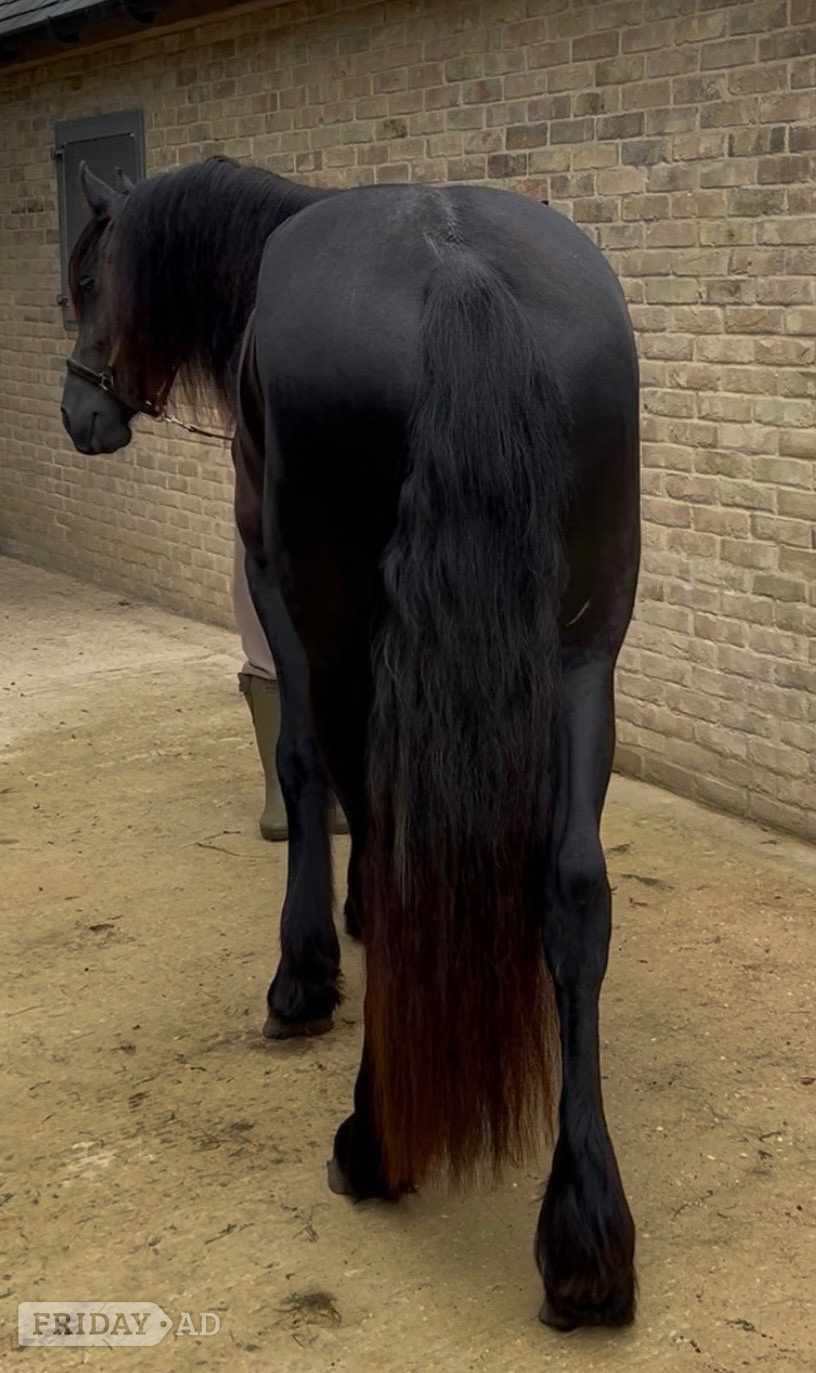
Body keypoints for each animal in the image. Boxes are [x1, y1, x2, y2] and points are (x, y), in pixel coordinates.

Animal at [60, 156, 640, 1332]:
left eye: (89, 282)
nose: (77, 411)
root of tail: (461, 274)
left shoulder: (275, 586)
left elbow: (305, 767)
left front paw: (308, 971)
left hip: (334, 614)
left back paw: (374, 1142)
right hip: (585, 650)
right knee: (573, 889)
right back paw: (585, 1239)